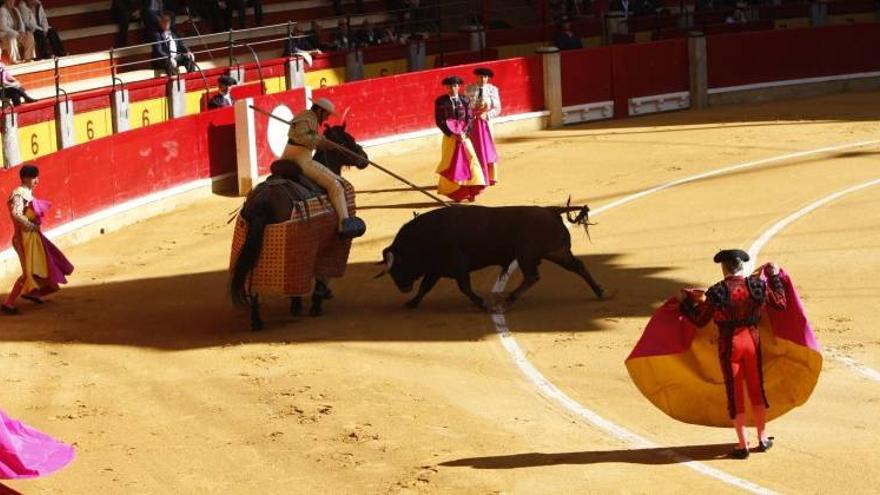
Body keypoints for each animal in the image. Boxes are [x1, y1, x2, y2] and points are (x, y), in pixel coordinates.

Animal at [230, 124, 368, 332]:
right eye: (346, 141)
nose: (364, 158)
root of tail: (262, 200)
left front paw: (298, 304)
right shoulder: (328, 245)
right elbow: (321, 275)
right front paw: (316, 304)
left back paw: (256, 321)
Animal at [378, 203, 612, 308]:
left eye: (397, 268)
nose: (402, 288)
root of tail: (550, 210)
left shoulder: (457, 266)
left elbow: (464, 287)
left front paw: (481, 302)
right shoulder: (435, 270)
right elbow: (425, 287)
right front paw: (412, 303)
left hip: (528, 255)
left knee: (533, 276)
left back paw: (510, 298)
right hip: (556, 252)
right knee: (578, 266)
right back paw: (599, 291)